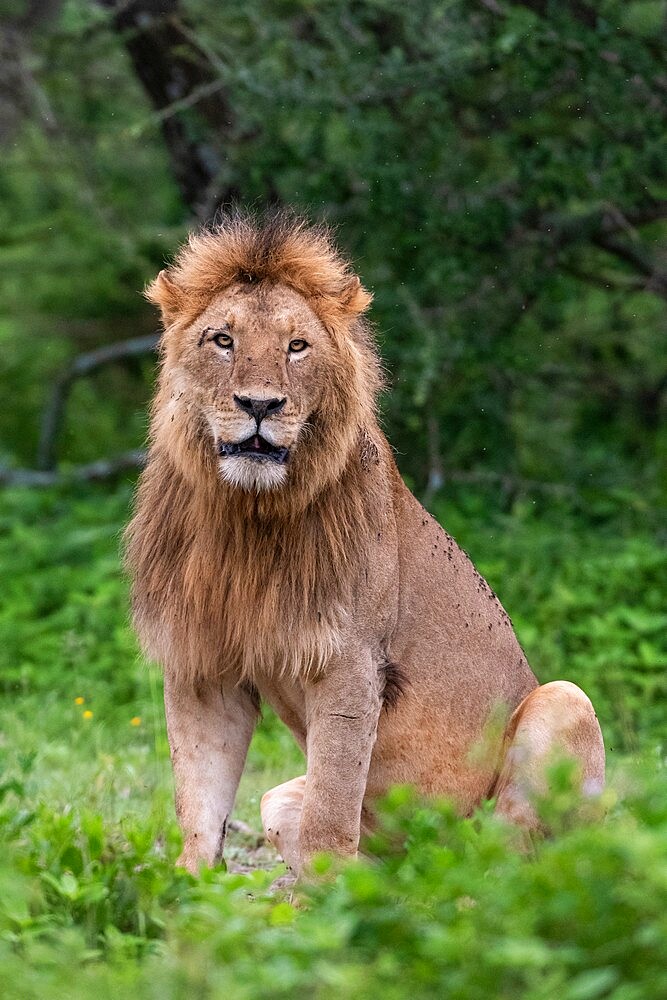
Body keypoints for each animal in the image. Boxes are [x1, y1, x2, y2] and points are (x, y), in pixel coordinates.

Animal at [125, 211, 604, 876]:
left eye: (297, 346)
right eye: (222, 340)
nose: (259, 405)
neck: (246, 514)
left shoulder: (350, 661)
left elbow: (331, 807)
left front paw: (332, 898)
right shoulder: (205, 662)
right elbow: (198, 798)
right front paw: (189, 888)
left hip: (565, 702)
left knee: (512, 862)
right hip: (280, 800)